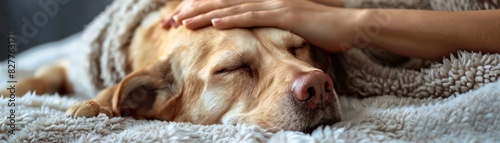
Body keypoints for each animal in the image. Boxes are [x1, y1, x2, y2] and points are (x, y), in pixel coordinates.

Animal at [0, 1, 340, 133]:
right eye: (232, 68)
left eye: (298, 48)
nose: (319, 86)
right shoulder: (67, 64)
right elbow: (41, 78)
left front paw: (97, 102)